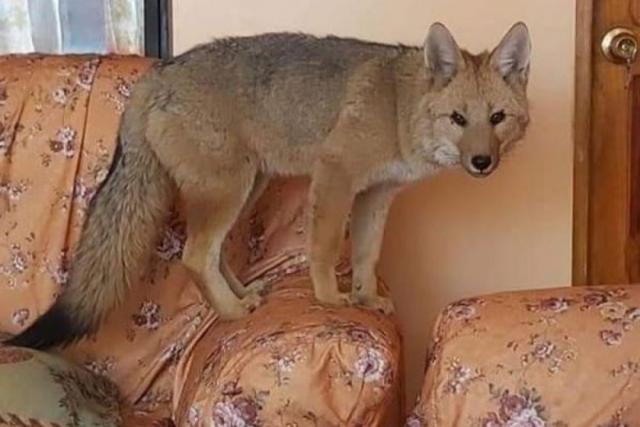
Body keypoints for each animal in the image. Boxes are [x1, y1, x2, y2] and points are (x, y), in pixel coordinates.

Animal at [6, 22, 531, 349]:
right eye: (458, 119)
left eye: (497, 119)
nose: (482, 162)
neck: (400, 106)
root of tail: (154, 77)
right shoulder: (335, 176)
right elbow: (324, 248)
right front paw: (330, 299)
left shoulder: (375, 195)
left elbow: (366, 256)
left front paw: (366, 299)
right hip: (229, 191)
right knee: (194, 255)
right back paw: (232, 313)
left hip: (246, 189)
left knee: (214, 254)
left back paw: (242, 296)